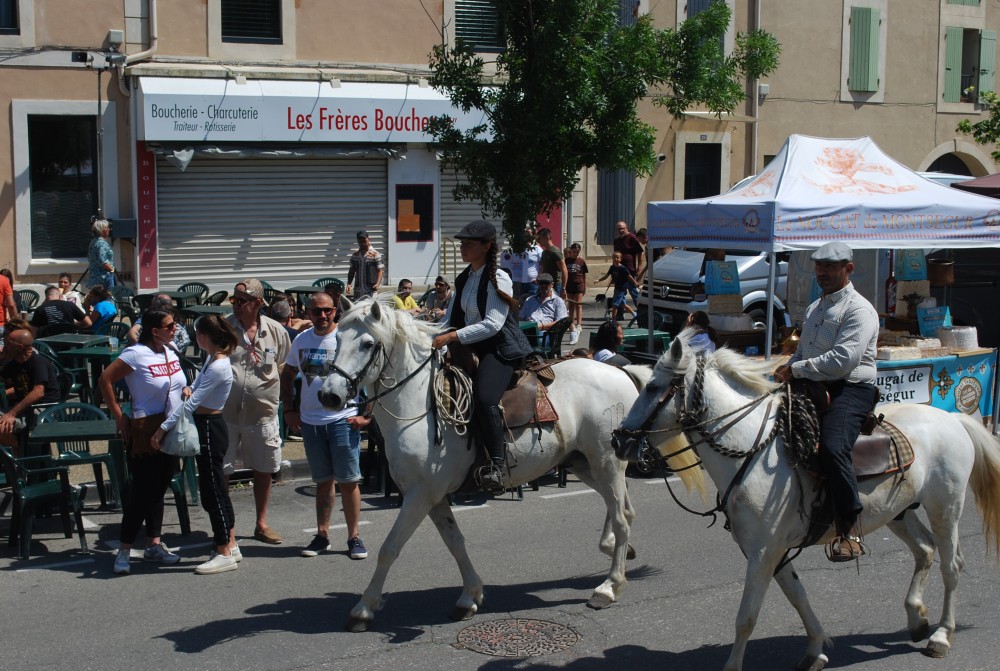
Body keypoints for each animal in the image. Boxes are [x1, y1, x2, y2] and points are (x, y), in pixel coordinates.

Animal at [320, 302, 696, 632]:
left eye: (368, 343)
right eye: (337, 338)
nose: (329, 396)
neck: (417, 404)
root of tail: (621, 371)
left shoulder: (419, 494)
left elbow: (389, 548)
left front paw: (363, 609)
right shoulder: (434, 497)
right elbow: (455, 542)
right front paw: (469, 596)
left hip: (606, 460)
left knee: (621, 515)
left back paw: (608, 586)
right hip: (585, 463)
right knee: (623, 507)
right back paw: (617, 551)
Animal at [608, 334, 1000, 671]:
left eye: (654, 387)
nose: (618, 440)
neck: (751, 451)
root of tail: (953, 418)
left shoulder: (763, 552)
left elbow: (746, 616)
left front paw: (734, 666)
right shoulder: (771, 550)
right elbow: (798, 595)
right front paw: (815, 650)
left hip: (946, 508)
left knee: (952, 565)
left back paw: (941, 636)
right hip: (899, 513)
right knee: (925, 550)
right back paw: (917, 618)